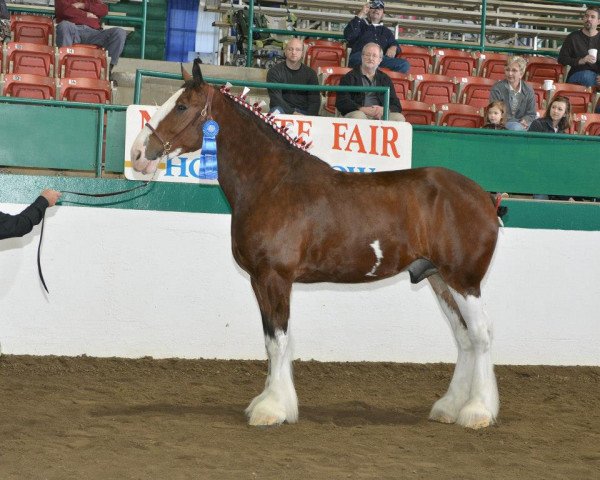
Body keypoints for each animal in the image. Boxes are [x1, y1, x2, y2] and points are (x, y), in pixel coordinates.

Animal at [131, 60, 506, 432]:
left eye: (181, 106)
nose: (137, 153)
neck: (271, 183)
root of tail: (485, 198)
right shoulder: (259, 280)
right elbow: (271, 340)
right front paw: (273, 402)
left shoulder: (275, 278)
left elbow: (278, 341)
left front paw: (272, 409)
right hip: (439, 279)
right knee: (463, 337)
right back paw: (449, 407)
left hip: (463, 281)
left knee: (481, 335)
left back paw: (477, 411)